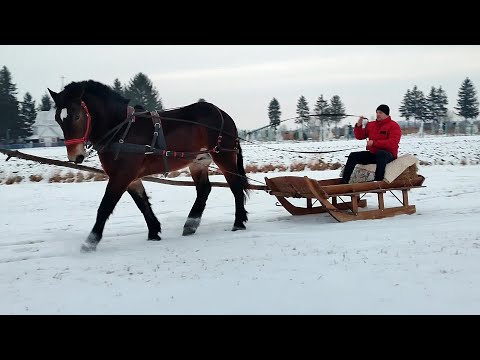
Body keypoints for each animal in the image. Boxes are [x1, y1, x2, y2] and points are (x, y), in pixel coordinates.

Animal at [48, 80, 249, 252]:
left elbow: (105, 206)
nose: (75, 156)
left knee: (235, 185)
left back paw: (239, 222)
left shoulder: (122, 175)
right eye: (58, 118)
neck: (121, 129)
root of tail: (222, 113)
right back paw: (190, 225)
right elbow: (142, 203)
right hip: (198, 161)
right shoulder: (130, 177)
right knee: (204, 189)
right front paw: (154, 231)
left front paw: (90, 242)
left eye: (76, 116)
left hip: (223, 156)